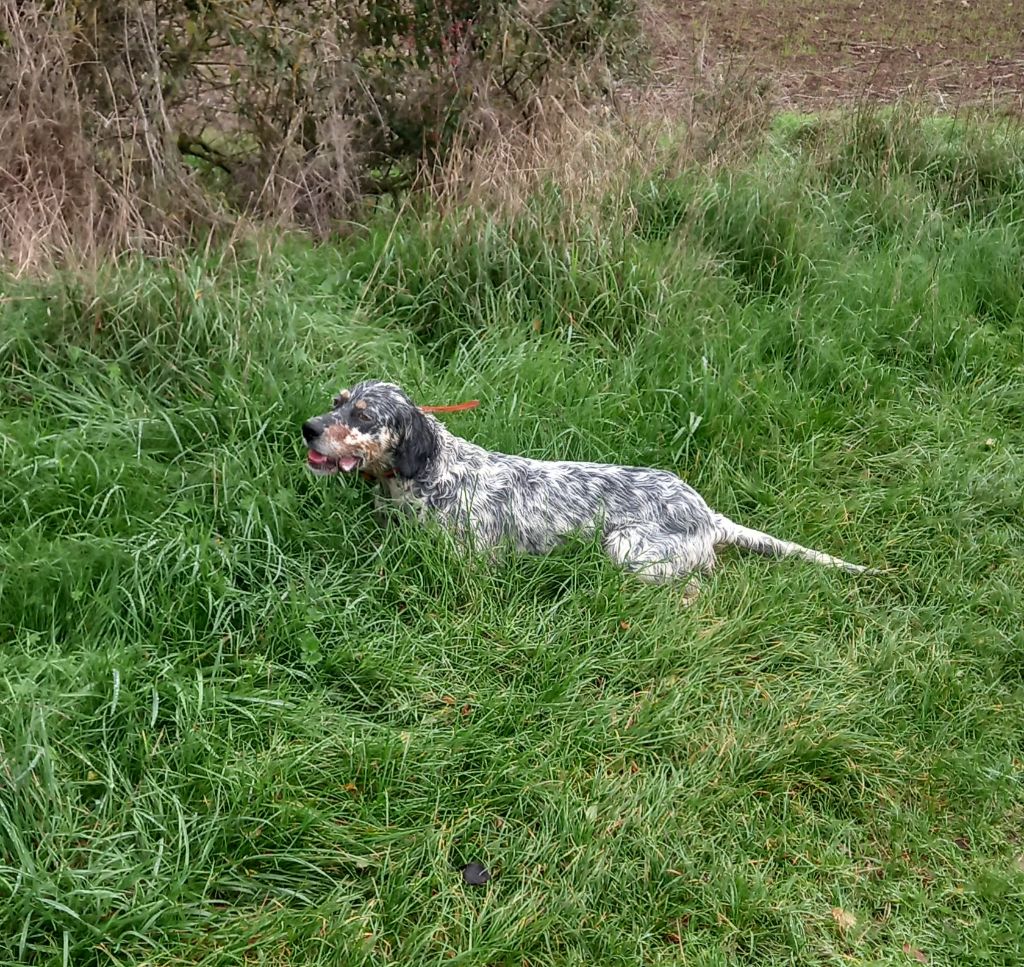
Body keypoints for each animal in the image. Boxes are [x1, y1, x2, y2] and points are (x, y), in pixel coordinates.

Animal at [299, 376, 876, 590]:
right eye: (337, 402)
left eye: (364, 416)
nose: (307, 427)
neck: (430, 474)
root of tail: (706, 513)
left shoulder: (470, 562)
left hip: (625, 548)